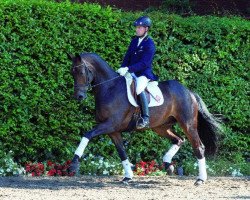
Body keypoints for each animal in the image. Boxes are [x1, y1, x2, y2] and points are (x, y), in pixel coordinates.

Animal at [67, 52, 223, 186]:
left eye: (81, 72)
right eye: (71, 73)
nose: (79, 96)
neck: (109, 88)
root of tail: (189, 92)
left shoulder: (110, 124)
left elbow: (87, 134)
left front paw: (73, 164)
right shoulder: (113, 131)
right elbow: (122, 152)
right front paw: (128, 176)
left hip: (188, 124)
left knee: (198, 146)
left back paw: (200, 179)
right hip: (161, 127)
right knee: (178, 139)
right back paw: (168, 165)